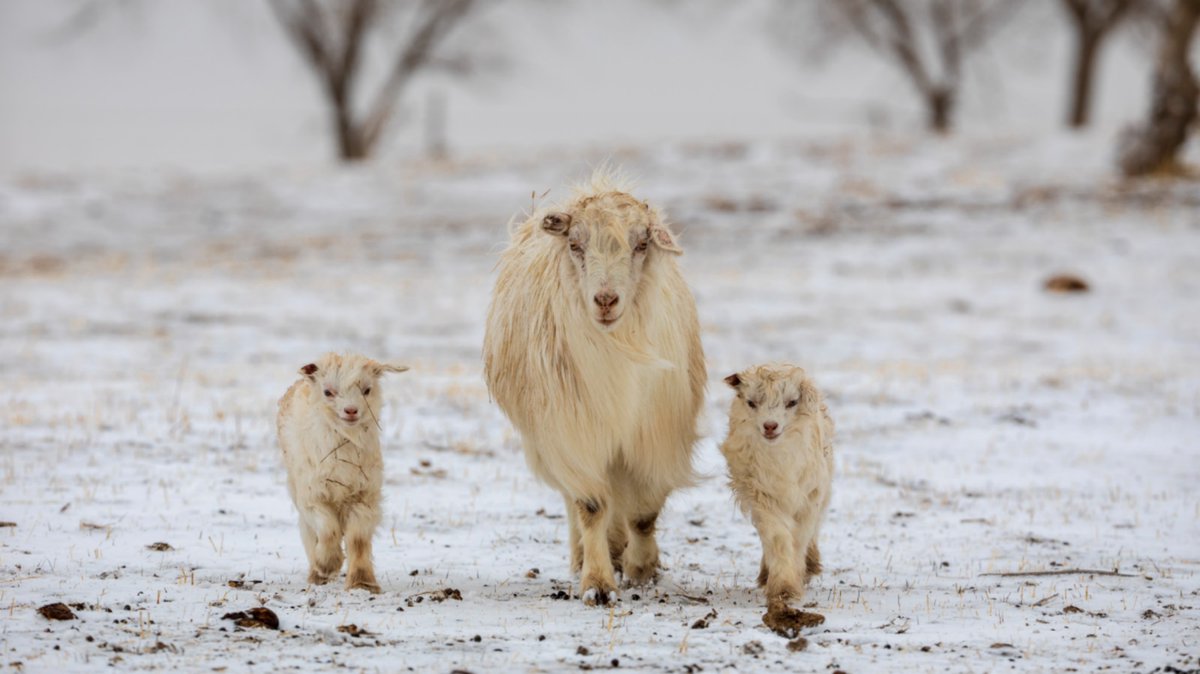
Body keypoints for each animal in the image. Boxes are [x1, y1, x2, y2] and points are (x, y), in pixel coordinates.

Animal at [484, 169, 705, 604]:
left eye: (641, 244)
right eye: (575, 244)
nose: (606, 300)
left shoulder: (656, 437)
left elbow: (644, 512)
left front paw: (642, 570)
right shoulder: (573, 434)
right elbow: (590, 505)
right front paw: (598, 583)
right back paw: (585, 556)